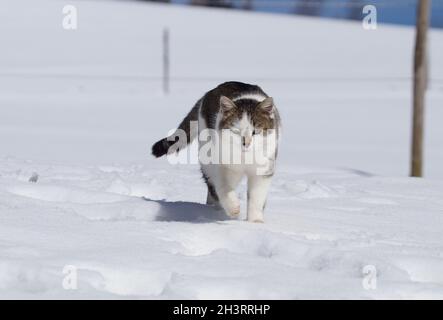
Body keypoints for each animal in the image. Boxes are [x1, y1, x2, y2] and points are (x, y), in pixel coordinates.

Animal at [153, 81, 280, 222]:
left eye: (255, 132)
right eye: (236, 131)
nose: (246, 143)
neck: (244, 158)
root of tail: (209, 92)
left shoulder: (263, 169)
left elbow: (257, 197)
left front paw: (255, 221)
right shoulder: (222, 166)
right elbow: (224, 188)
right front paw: (233, 208)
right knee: (212, 187)